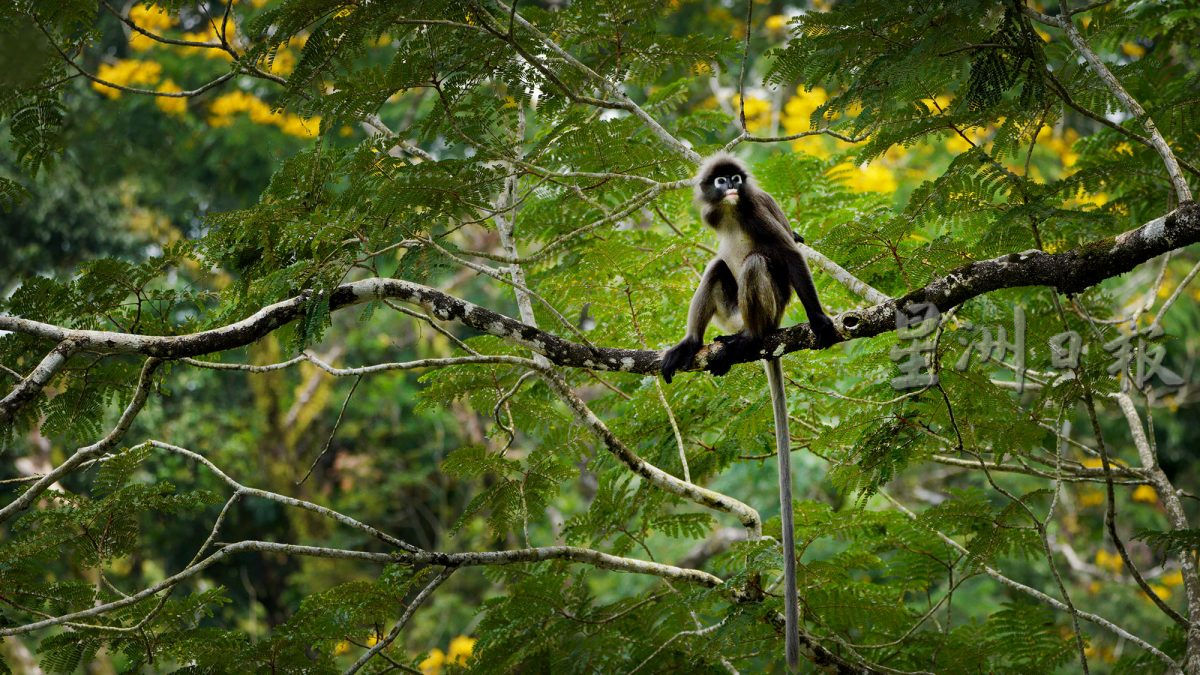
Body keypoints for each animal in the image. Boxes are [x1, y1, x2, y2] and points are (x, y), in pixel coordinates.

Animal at [662, 153, 840, 667]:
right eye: (721, 180)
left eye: (737, 179)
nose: (731, 186)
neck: (731, 212)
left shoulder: (757, 210)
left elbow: (789, 254)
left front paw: (820, 320)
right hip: (731, 307)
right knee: (718, 267)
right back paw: (696, 344)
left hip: (767, 308)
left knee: (759, 261)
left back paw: (749, 340)